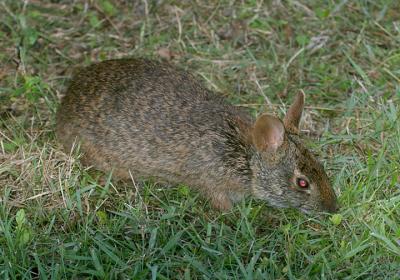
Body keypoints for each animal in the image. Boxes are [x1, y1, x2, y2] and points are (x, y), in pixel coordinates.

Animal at [55, 58, 338, 213]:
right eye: (302, 183)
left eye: (321, 166)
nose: (332, 207)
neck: (247, 159)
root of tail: (64, 107)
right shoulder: (214, 184)